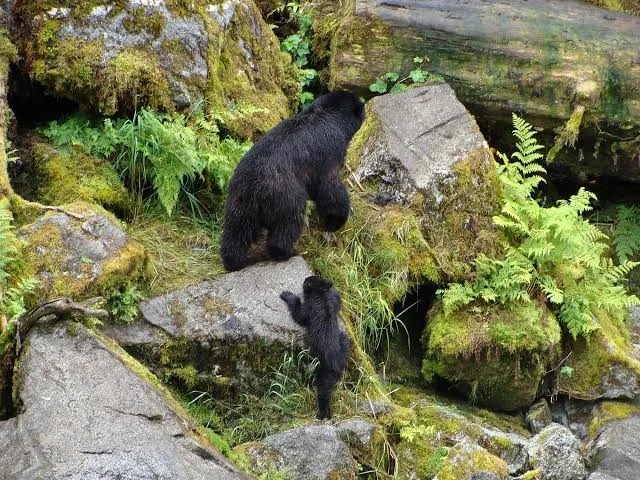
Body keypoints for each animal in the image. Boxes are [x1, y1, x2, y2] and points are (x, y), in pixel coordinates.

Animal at [221, 90, 364, 270]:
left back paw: (234, 260)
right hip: (285, 194)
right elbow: (330, 189)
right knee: (288, 222)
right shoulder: (329, 153)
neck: (329, 115)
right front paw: (335, 221)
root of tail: (254, 185)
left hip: (239, 200)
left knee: (237, 229)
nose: (364, 109)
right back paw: (286, 251)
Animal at [280, 276, 350, 418]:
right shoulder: (332, 301)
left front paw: (287, 295)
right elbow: (337, 300)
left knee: (323, 390)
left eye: (306, 282)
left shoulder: (310, 308)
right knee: (344, 339)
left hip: (324, 370)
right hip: (343, 346)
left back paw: (322, 414)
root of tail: (337, 363)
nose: (304, 281)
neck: (320, 295)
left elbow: (299, 315)